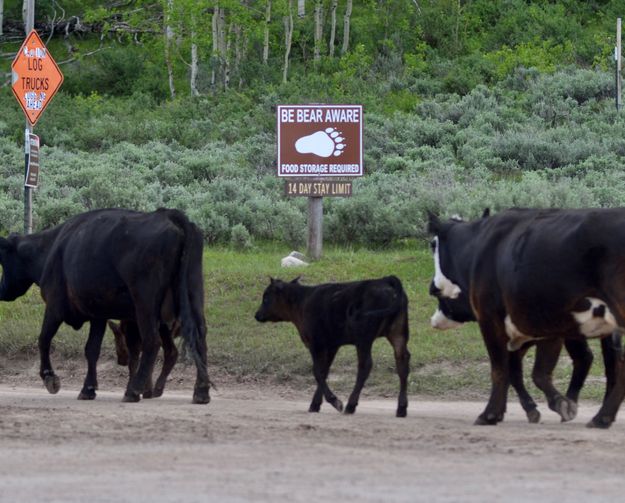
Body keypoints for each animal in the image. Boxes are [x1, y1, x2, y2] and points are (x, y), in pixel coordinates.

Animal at [0, 207, 210, 404]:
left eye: (3, 260)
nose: (2, 290)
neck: (50, 248)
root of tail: (168, 214)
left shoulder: (54, 307)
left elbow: (43, 339)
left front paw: (50, 378)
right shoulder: (98, 314)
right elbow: (92, 349)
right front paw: (88, 388)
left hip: (146, 304)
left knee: (152, 341)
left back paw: (134, 391)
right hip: (193, 294)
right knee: (199, 336)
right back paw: (201, 392)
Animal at [254, 276, 410, 418]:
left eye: (266, 297)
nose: (257, 315)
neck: (302, 301)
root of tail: (385, 279)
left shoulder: (316, 343)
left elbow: (317, 371)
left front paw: (335, 401)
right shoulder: (332, 345)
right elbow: (324, 371)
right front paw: (315, 404)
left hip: (364, 338)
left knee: (365, 365)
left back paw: (350, 405)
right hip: (398, 333)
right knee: (402, 362)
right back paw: (401, 408)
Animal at [426, 209, 624, 430]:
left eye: (432, 245)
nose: (431, 288)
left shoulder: (491, 319)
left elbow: (501, 369)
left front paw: (490, 414)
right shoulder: (543, 326)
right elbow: (527, 371)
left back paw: (601, 415)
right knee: (609, 364)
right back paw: (602, 415)